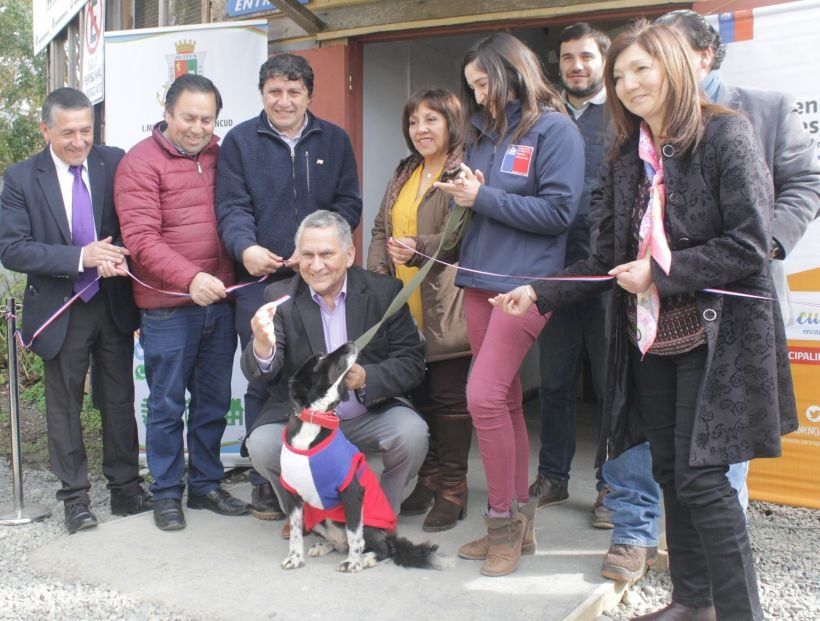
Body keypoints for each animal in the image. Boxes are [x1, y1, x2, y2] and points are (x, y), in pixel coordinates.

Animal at [278, 340, 446, 572]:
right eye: (321, 358)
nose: (349, 343)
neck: (313, 422)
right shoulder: (292, 493)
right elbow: (295, 532)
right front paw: (295, 558)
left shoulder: (352, 491)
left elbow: (354, 534)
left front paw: (353, 562)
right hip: (319, 518)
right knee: (340, 541)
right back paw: (324, 545)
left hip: (370, 524)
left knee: (384, 548)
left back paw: (367, 558)